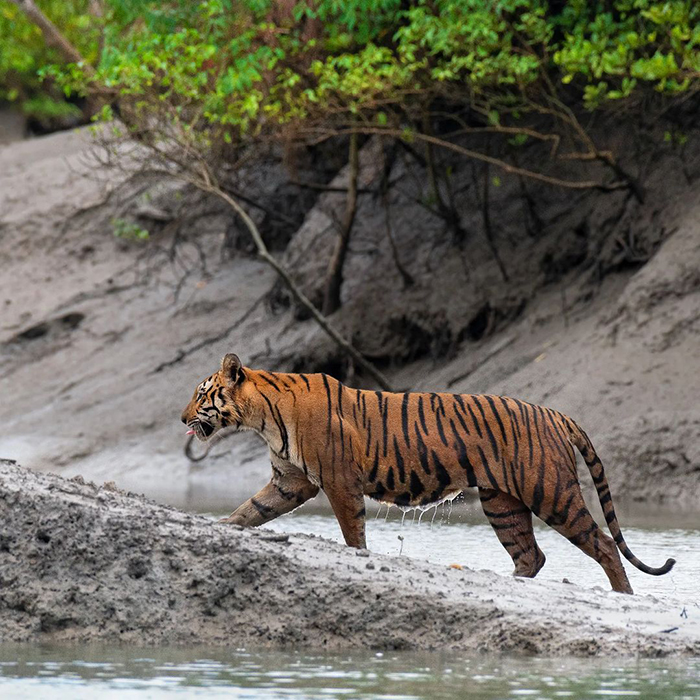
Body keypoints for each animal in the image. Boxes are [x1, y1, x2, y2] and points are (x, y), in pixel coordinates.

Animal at [180, 352, 672, 592]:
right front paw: (221, 527)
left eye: (201, 393)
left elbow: (352, 533)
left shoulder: (339, 482)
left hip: (550, 491)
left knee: (604, 545)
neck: (260, 416)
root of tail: (555, 412)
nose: (181, 417)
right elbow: (250, 511)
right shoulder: (290, 481)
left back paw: (624, 597)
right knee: (531, 556)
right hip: (502, 503)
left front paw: (360, 557)